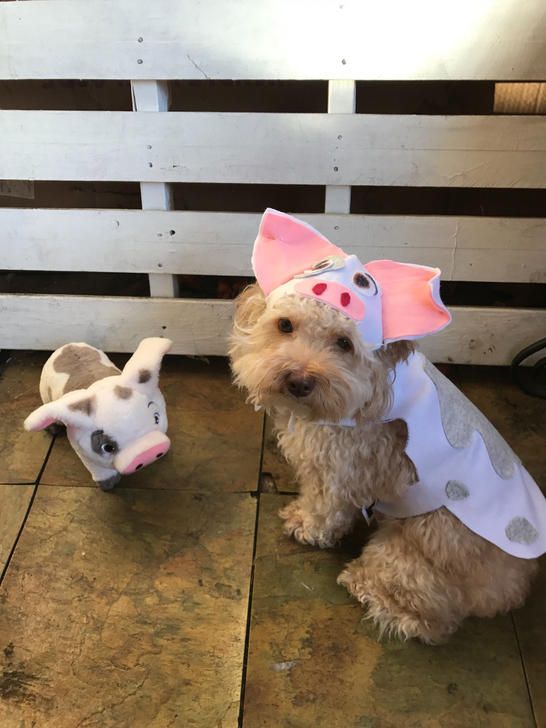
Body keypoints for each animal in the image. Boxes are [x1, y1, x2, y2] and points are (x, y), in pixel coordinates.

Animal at [230, 209, 544, 644]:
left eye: (344, 343)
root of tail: (516, 584)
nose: (298, 381)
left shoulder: (336, 469)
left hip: (404, 555)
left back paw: (370, 591)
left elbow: (324, 508)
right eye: (285, 325)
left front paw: (305, 525)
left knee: (434, 620)